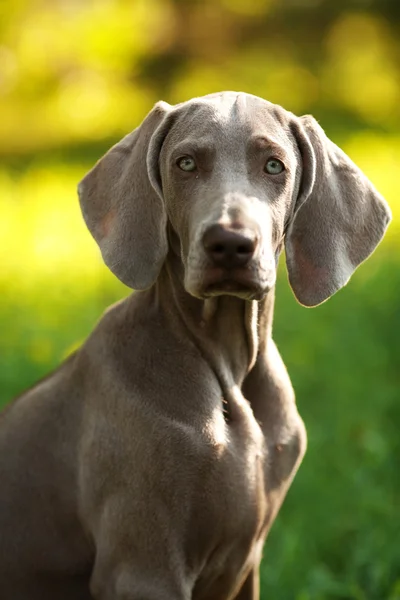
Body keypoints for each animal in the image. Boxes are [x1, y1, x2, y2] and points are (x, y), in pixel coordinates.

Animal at [0, 91, 390, 596]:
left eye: (274, 166)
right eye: (185, 163)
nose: (230, 243)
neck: (225, 362)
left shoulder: (245, 568)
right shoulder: (143, 569)